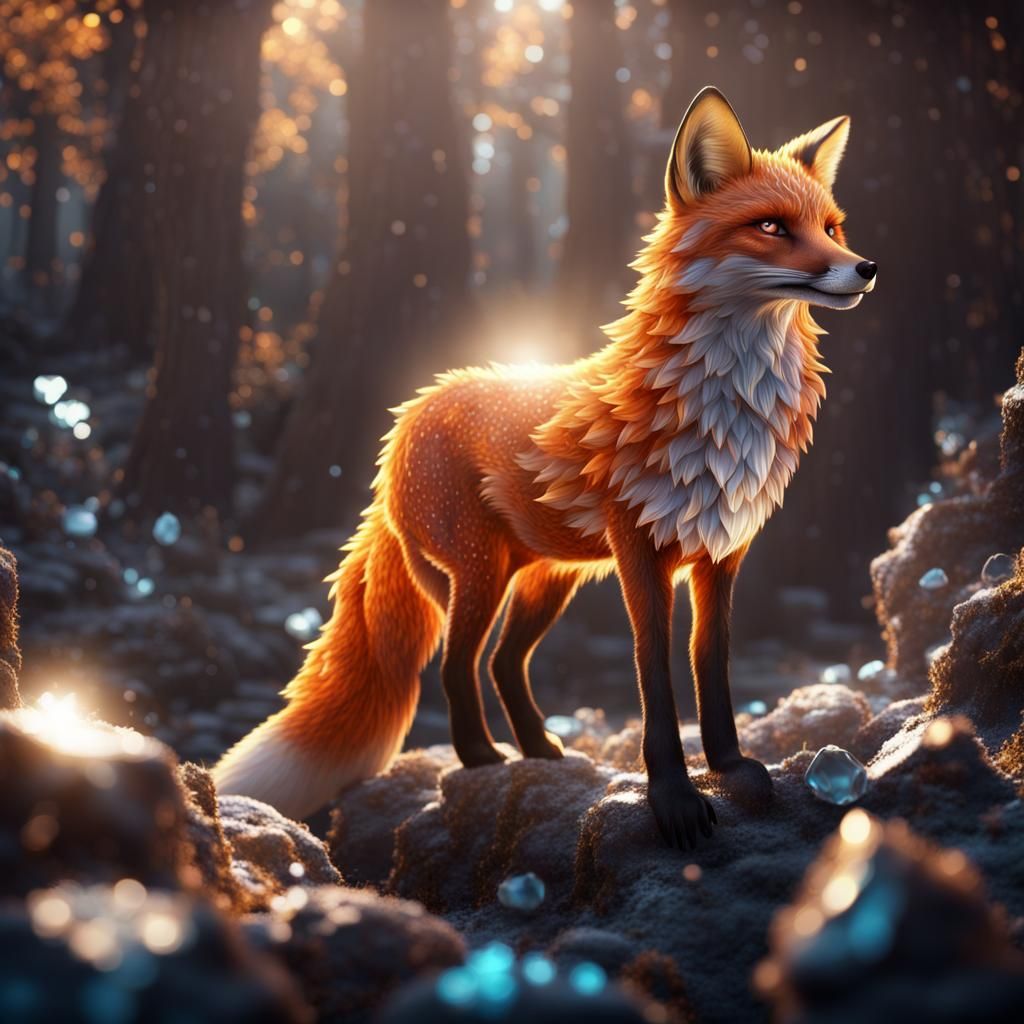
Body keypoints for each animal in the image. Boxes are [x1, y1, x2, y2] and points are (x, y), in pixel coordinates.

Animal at [215, 87, 876, 849]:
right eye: (771, 226)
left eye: (830, 227)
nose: (865, 267)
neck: (726, 410)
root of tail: (408, 416)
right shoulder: (639, 553)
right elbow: (655, 677)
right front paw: (674, 800)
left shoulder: (721, 555)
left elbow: (711, 667)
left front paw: (730, 767)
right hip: (479, 574)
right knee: (457, 666)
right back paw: (481, 757)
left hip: (545, 578)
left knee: (504, 663)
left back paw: (538, 750)